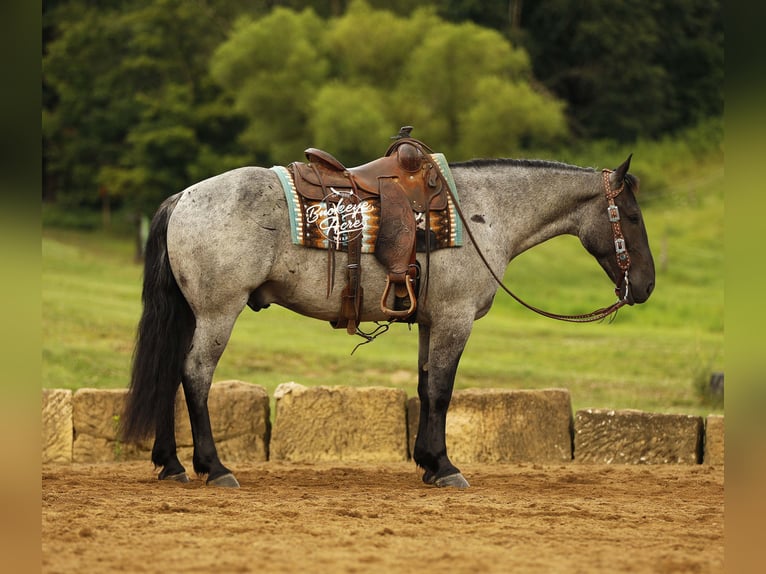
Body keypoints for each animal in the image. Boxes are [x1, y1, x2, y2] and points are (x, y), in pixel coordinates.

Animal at [121, 154, 655, 488]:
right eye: (630, 216)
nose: (646, 286)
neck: (481, 214)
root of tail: (183, 198)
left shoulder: (431, 322)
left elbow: (424, 386)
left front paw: (427, 461)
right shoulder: (455, 319)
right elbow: (441, 391)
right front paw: (445, 466)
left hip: (192, 315)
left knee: (169, 373)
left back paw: (171, 463)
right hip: (217, 313)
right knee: (194, 376)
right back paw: (213, 467)